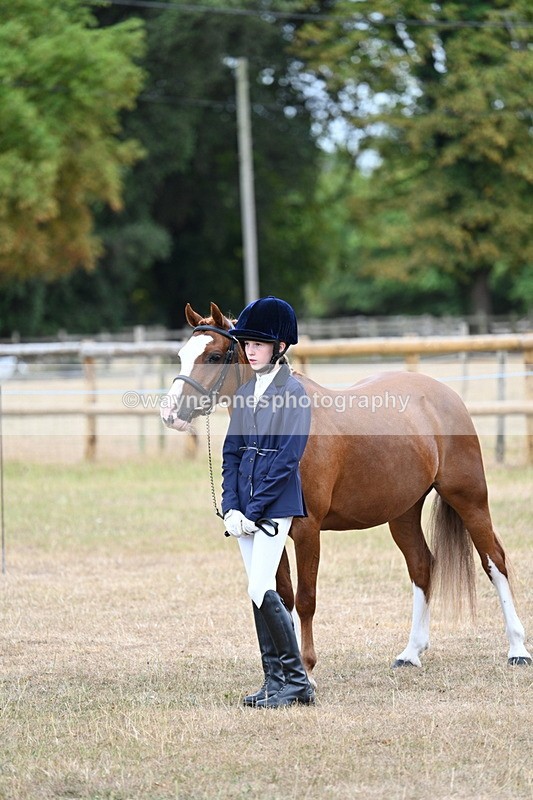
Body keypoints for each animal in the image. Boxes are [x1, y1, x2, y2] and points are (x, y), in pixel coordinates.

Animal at [160, 302, 531, 674]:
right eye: (181, 355)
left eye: (213, 357)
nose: (170, 413)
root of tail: (446, 394)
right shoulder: (268, 528)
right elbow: (281, 596)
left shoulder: (307, 530)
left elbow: (306, 599)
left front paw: (307, 668)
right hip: (403, 511)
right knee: (422, 566)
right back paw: (410, 652)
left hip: (469, 498)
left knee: (494, 562)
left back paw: (517, 648)